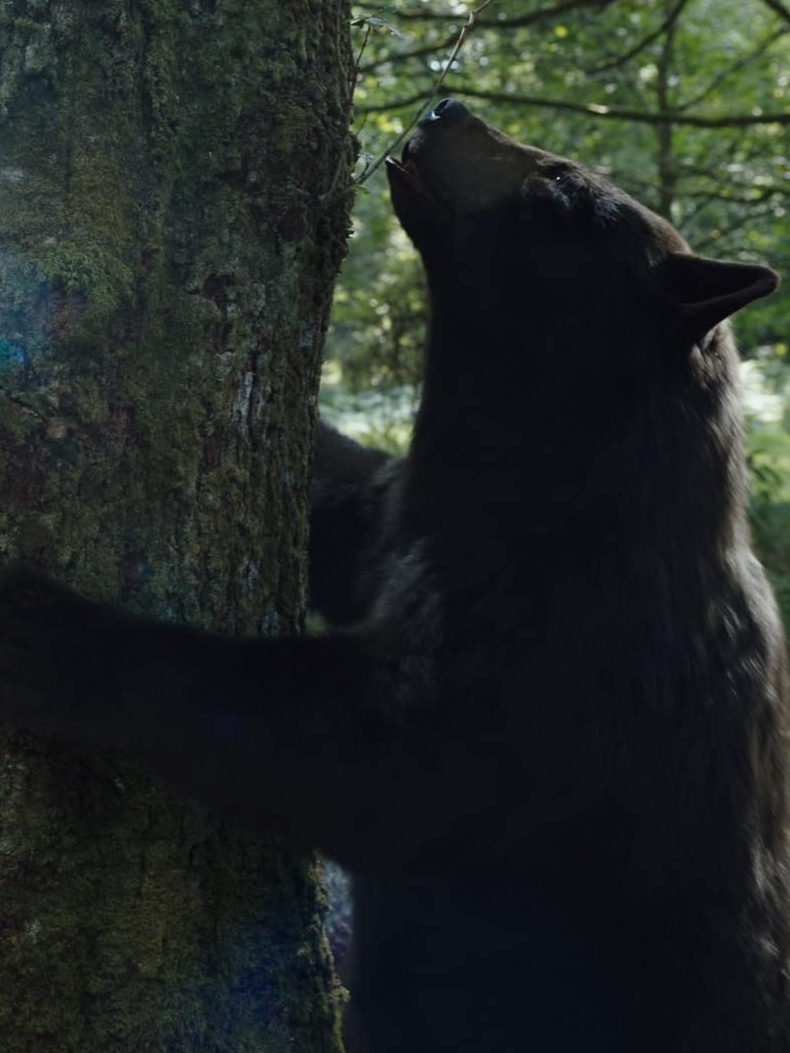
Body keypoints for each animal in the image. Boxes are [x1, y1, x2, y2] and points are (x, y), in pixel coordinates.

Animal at [1, 100, 790, 1053]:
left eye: (562, 191)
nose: (449, 107)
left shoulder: (564, 668)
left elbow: (340, 746)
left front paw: (44, 631)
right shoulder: (401, 521)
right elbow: (340, 499)